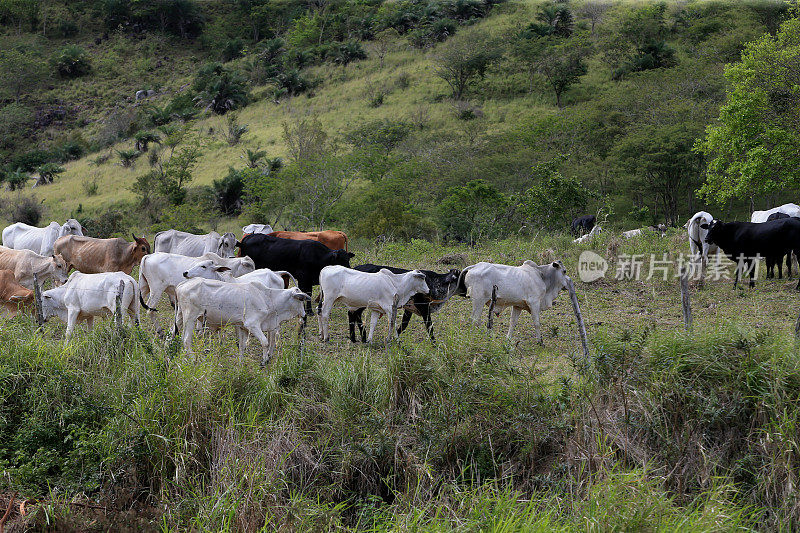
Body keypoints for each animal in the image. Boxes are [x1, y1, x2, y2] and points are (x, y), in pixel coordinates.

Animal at [176, 278, 312, 362]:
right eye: (301, 299)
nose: (304, 314)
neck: (268, 299)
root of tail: (182, 284)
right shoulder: (252, 325)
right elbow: (265, 342)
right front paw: (264, 361)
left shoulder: (242, 327)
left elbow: (242, 346)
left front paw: (241, 363)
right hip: (190, 318)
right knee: (186, 340)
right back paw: (192, 359)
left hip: (181, 316)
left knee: (179, 335)